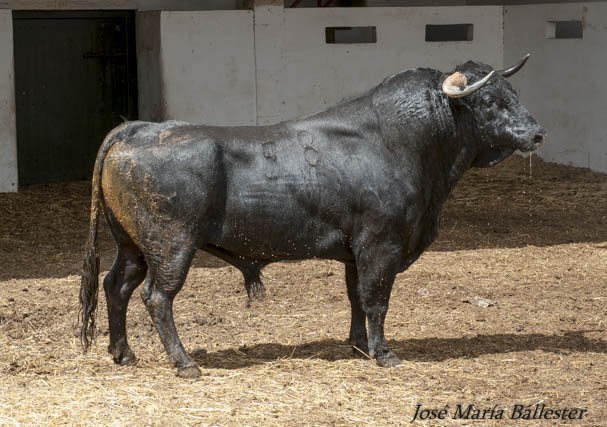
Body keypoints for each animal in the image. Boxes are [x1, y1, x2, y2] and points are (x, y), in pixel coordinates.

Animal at [79, 56, 548, 378]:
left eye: (515, 95)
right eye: (489, 100)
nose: (537, 133)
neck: (402, 141)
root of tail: (138, 128)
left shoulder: (356, 251)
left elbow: (357, 297)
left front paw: (358, 345)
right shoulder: (381, 244)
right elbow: (376, 299)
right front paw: (384, 353)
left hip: (133, 246)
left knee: (116, 286)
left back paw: (123, 354)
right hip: (171, 246)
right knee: (156, 298)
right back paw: (185, 363)